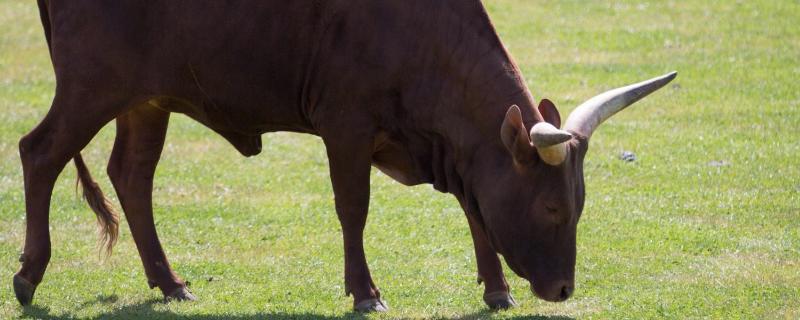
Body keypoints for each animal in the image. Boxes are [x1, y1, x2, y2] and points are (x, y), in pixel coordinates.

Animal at [12, 0, 676, 310]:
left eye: (577, 206)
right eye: (551, 211)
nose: (563, 289)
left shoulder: (457, 150)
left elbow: (477, 211)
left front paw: (495, 289)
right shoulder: (347, 128)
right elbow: (353, 210)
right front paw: (364, 291)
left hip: (146, 99)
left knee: (132, 176)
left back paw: (169, 282)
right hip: (91, 89)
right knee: (39, 153)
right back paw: (28, 275)